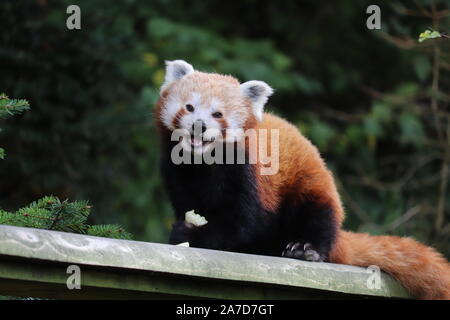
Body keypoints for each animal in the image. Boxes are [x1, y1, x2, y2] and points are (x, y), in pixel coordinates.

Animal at [156, 60, 450, 300]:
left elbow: (243, 221)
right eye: (189, 107)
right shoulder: (177, 171)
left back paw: (306, 248)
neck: (204, 163)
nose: (199, 125)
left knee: (319, 216)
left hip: (313, 187)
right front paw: (188, 225)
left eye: (218, 114)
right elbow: (188, 204)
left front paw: (190, 234)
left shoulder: (249, 174)